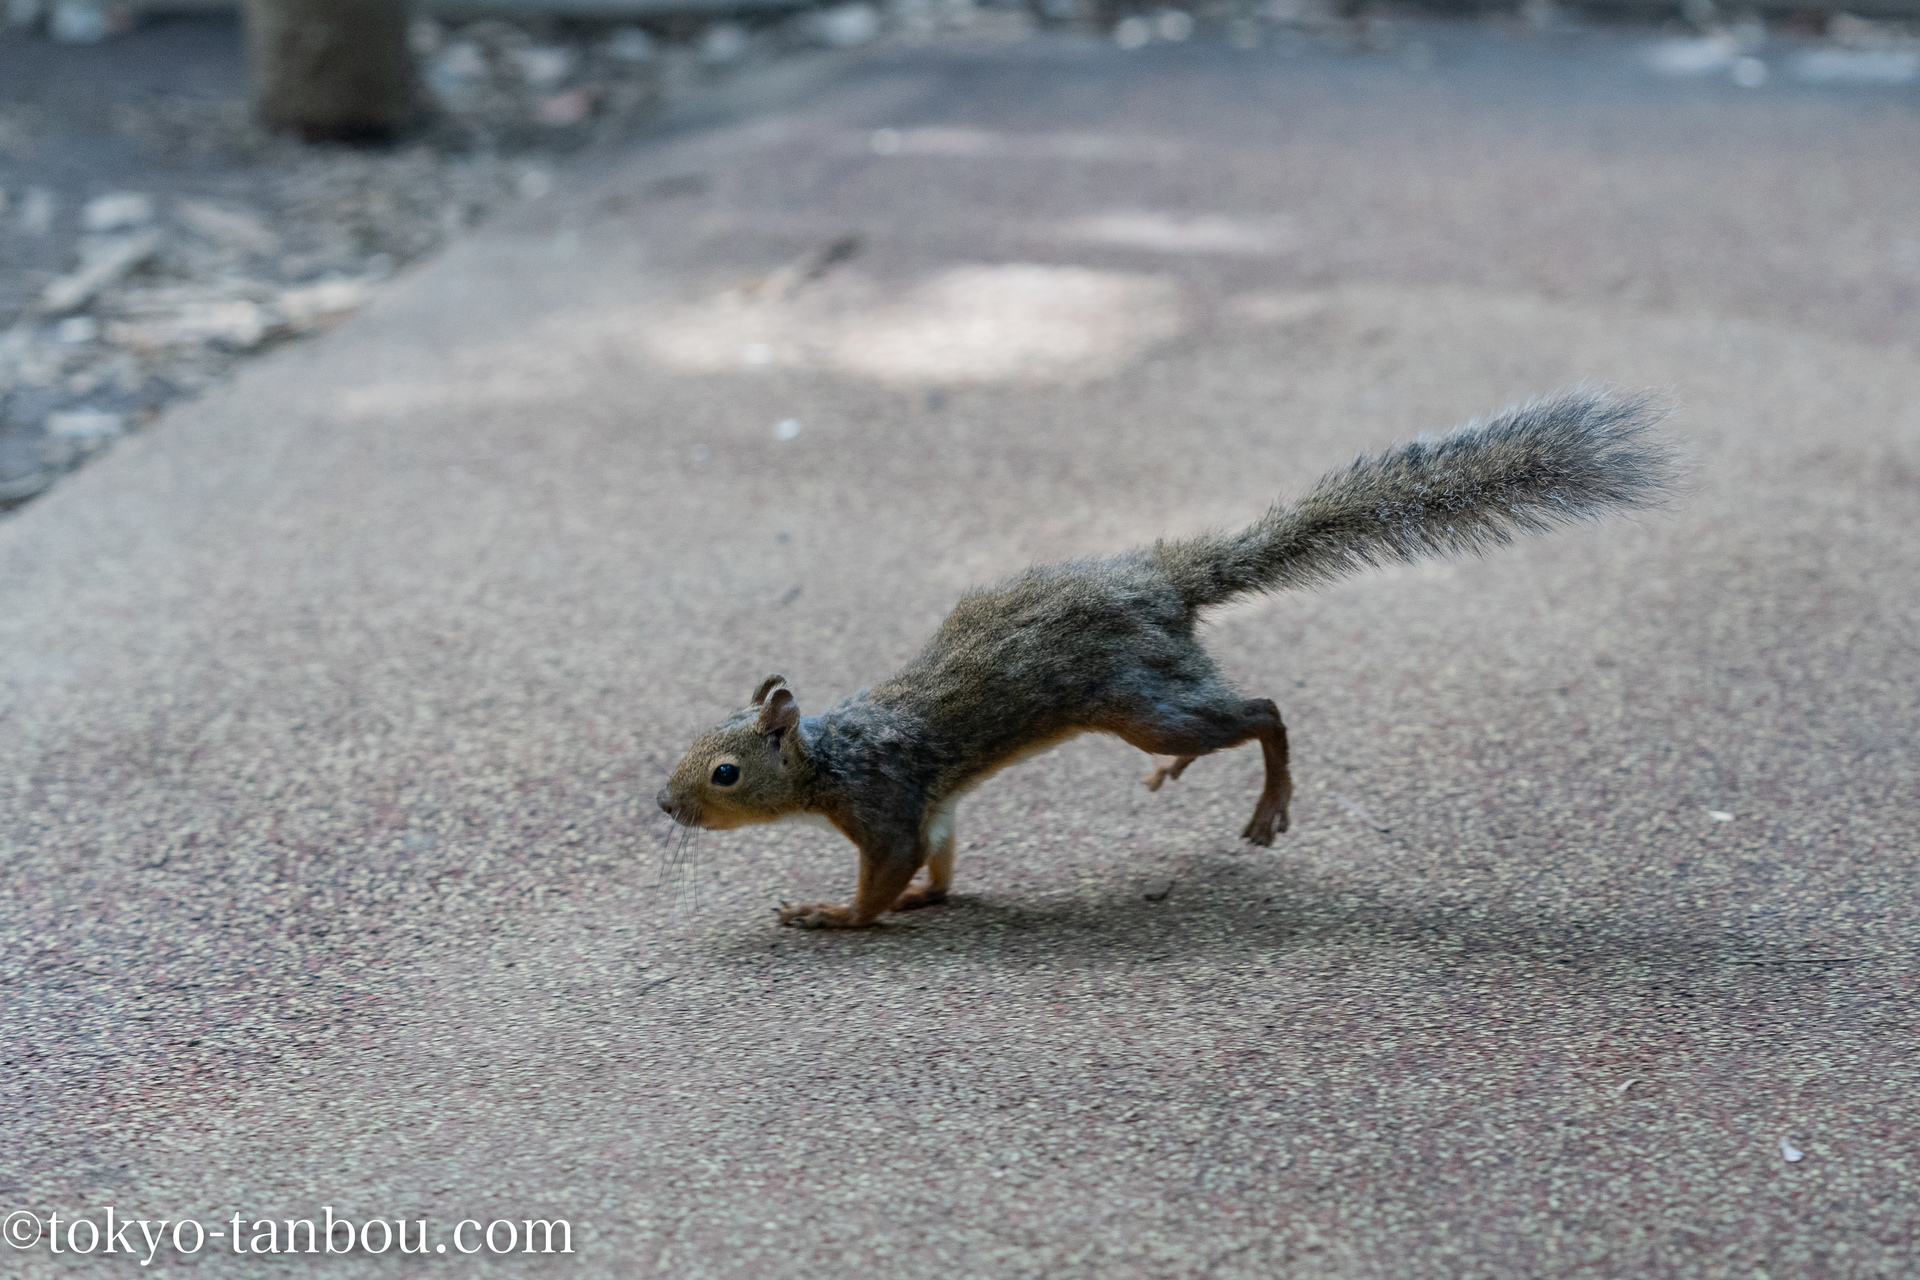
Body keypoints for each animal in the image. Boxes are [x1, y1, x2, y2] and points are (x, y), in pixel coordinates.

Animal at [652, 391, 1674, 932]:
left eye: (725, 771)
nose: (663, 806)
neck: (831, 758)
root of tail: (1164, 581)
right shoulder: (934, 809)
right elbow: (938, 859)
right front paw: (926, 903)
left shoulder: (887, 807)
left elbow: (886, 874)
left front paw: (835, 916)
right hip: (1160, 692)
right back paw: (1186, 773)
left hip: (1139, 699)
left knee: (1264, 711)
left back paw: (1267, 801)